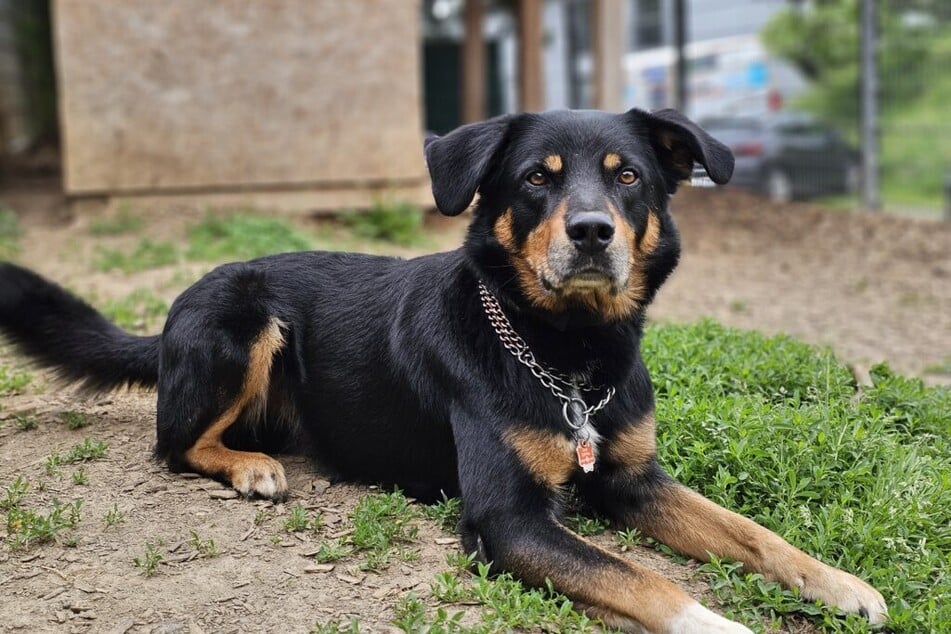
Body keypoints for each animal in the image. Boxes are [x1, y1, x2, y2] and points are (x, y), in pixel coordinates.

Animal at [3, 107, 888, 628]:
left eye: (628, 175)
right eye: (536, 179)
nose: (592, 231)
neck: (565, 353)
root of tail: (166, 321)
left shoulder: (634, 479)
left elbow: (753, 534)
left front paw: (840, 584)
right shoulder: (507, 520)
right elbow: (646, 580)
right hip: (241, 316)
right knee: (175, 443)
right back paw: (250, 466)